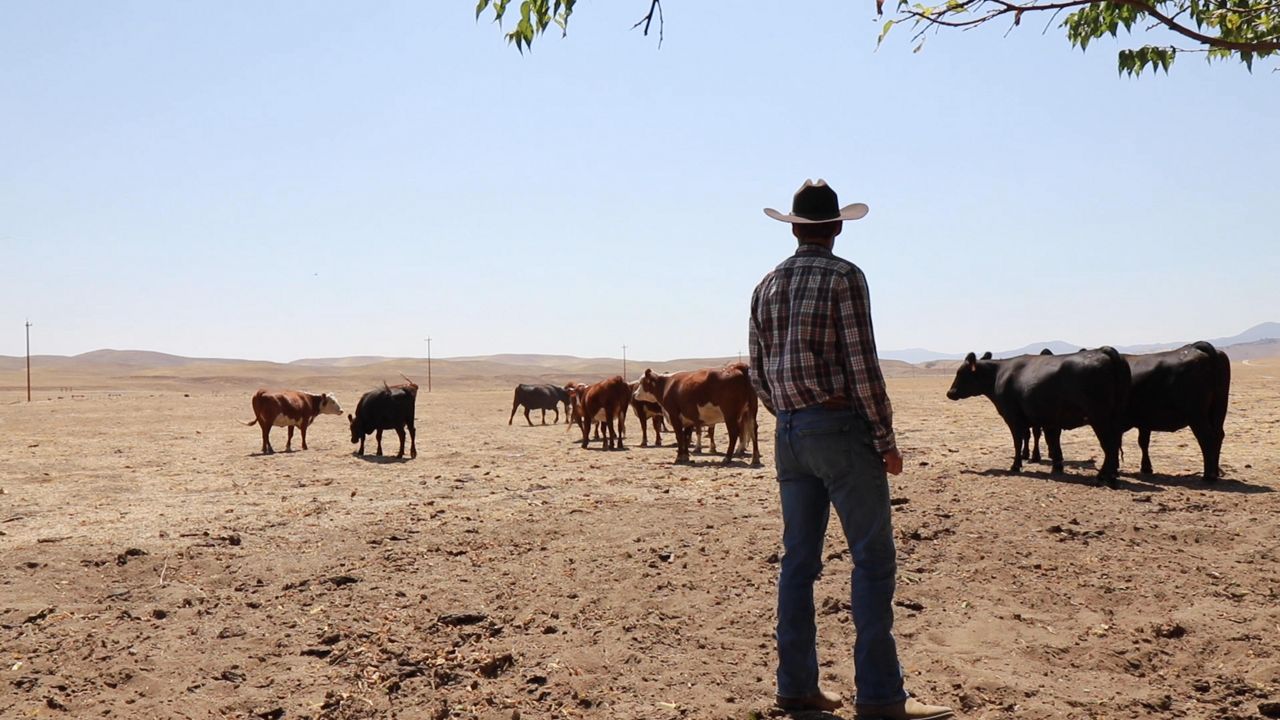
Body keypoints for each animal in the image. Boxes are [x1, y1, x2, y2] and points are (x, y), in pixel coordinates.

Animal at [942, 345, 1131, 484]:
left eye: (961, 372)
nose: (950, 393)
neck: (999, 374)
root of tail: (1103, 350)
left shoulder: (1013, 418)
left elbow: (1018, 442)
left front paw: (1015, 465)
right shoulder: (1046, 420)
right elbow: (1050, 441)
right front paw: (1055, 466)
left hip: (1099, 418)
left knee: (1109, 445)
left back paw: (1102, 476)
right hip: (1113, 418)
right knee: (1113, 445)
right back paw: (1111, 475)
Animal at [1121, 340, 1228, 481]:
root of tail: (1194, 347)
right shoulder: (1144, 420)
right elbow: (1143, 441)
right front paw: (1146, 468)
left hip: (1197, 415)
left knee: (1207, 438)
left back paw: (1208, 476)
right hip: (1219, 409)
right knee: (1218, 435)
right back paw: (1215, 472)